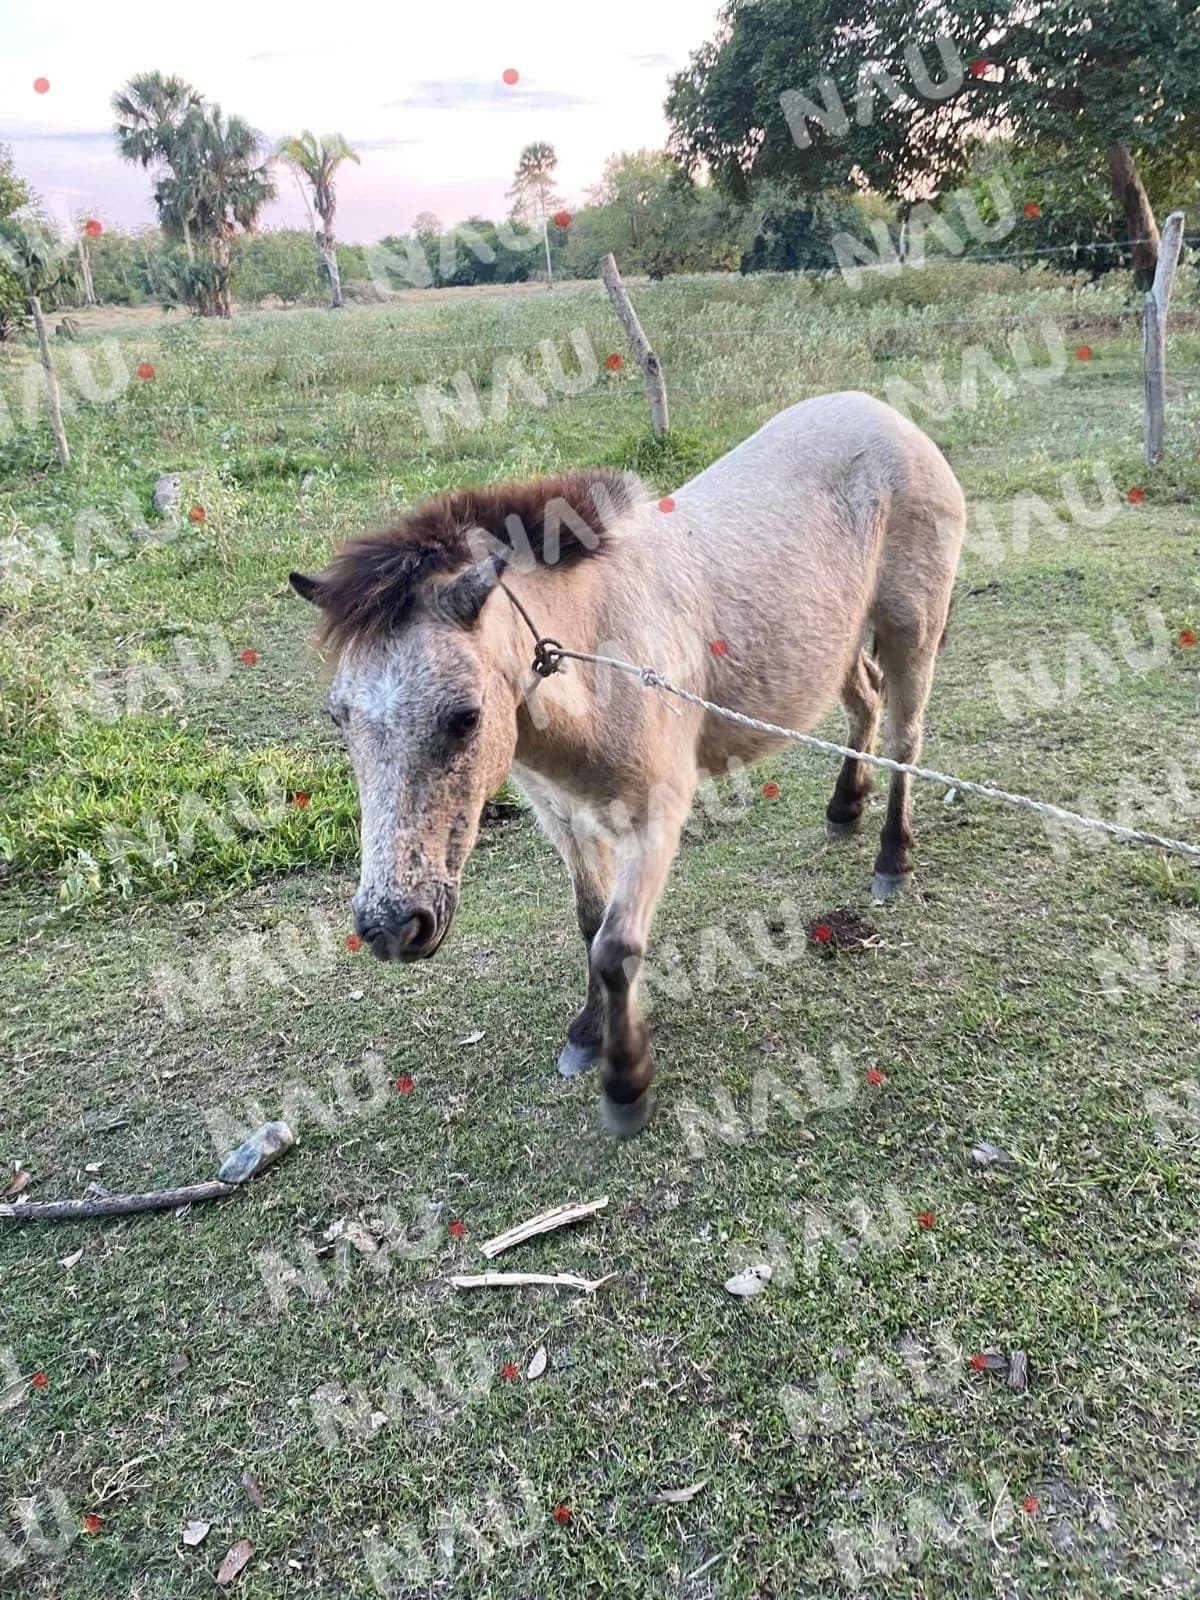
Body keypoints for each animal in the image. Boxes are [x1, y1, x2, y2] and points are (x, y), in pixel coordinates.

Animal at [290, 391, 966, 1136]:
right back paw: (845, 807)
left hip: (911, 629)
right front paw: (588, 1033)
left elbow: (616, 948)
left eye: (463, 716)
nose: (390, 927)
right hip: (834, 645)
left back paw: (892, 857)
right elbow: (590, 922)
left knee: (906, 738)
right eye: (338, 716)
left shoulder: (655, 815)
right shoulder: (561, 813)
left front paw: (625, 1081)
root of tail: (886, 415)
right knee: (865, 700)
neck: (598, 652)